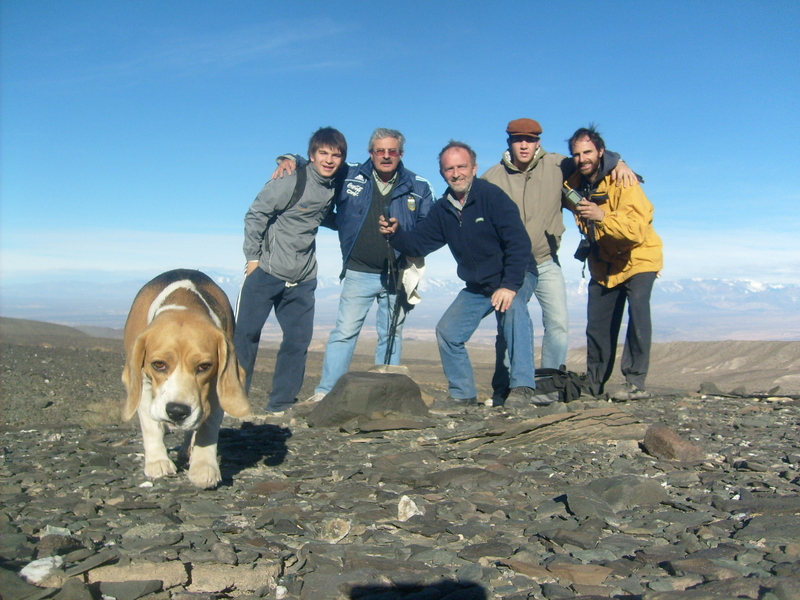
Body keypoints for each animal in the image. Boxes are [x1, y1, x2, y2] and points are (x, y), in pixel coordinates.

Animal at [122, 270, 250, 488]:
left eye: (204, 366)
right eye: (158, 364)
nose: (176, 411)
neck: (184, 302)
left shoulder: (214, 386)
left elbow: (207, 428)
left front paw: (204, 467)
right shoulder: (144, 383)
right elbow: (150, 426)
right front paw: (157, 462)